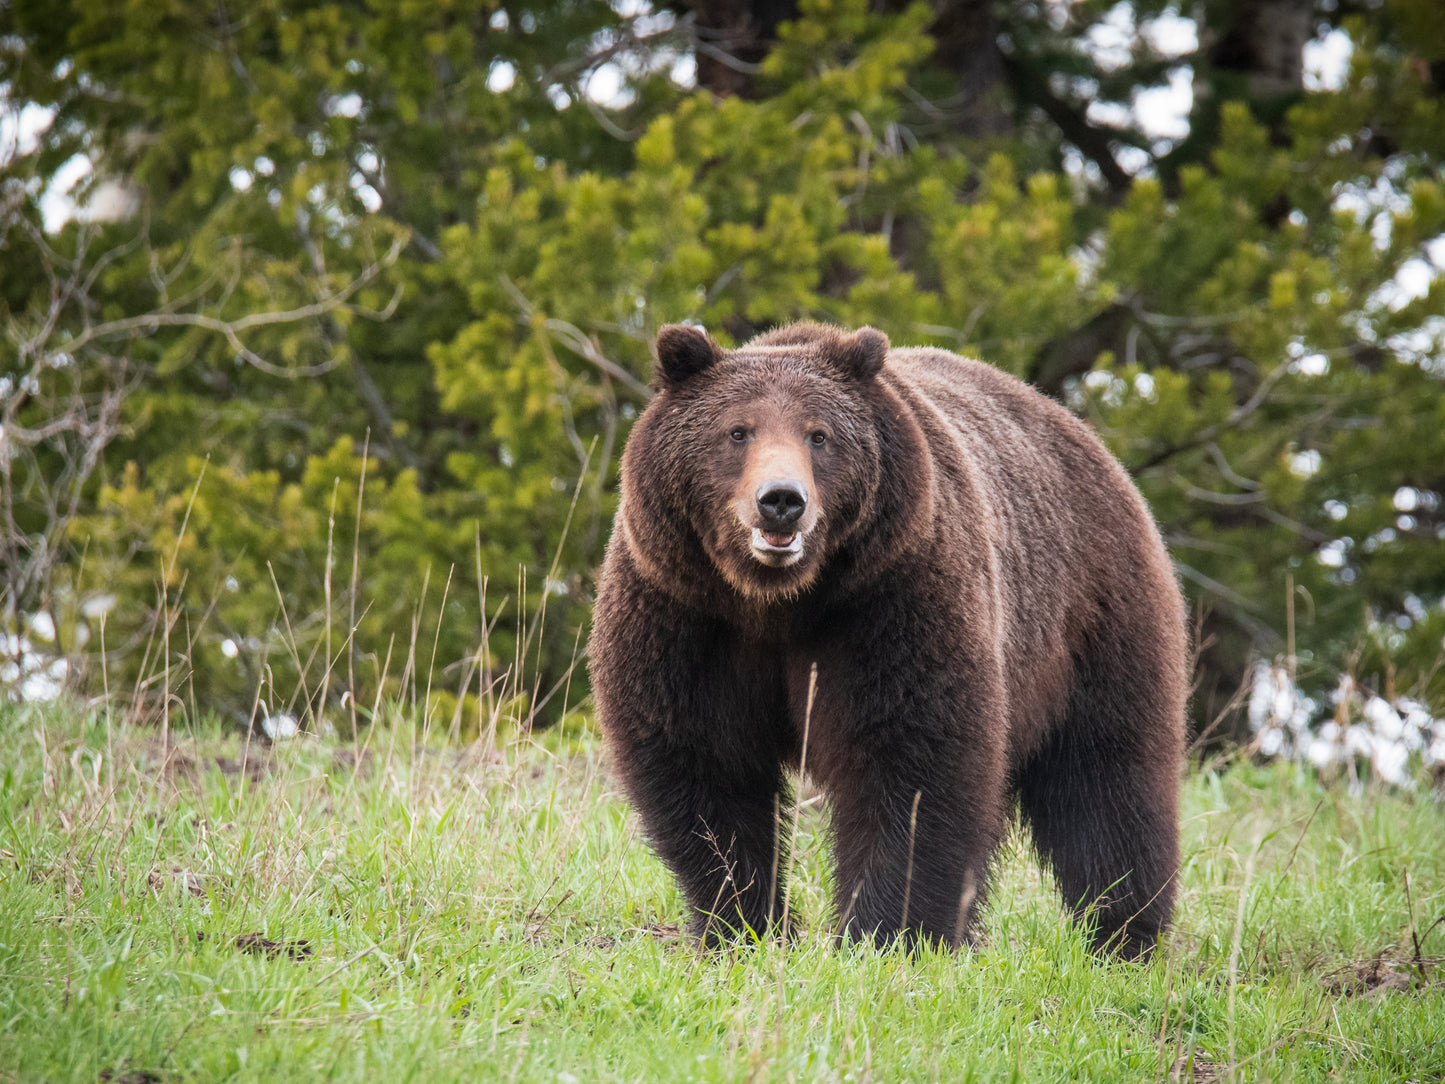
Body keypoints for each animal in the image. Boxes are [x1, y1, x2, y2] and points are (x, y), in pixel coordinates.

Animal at [586, 320, 1184, 959]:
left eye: (819, 435)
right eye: (737, 431)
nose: (781, 500)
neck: (778, 602)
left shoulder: (888, 603)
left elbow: (912, 761)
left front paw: (885, 935)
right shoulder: (687, 616)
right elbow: (706, 767)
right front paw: (747, 925)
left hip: (1092, 617)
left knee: (1109, 779)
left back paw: (1123, 932)